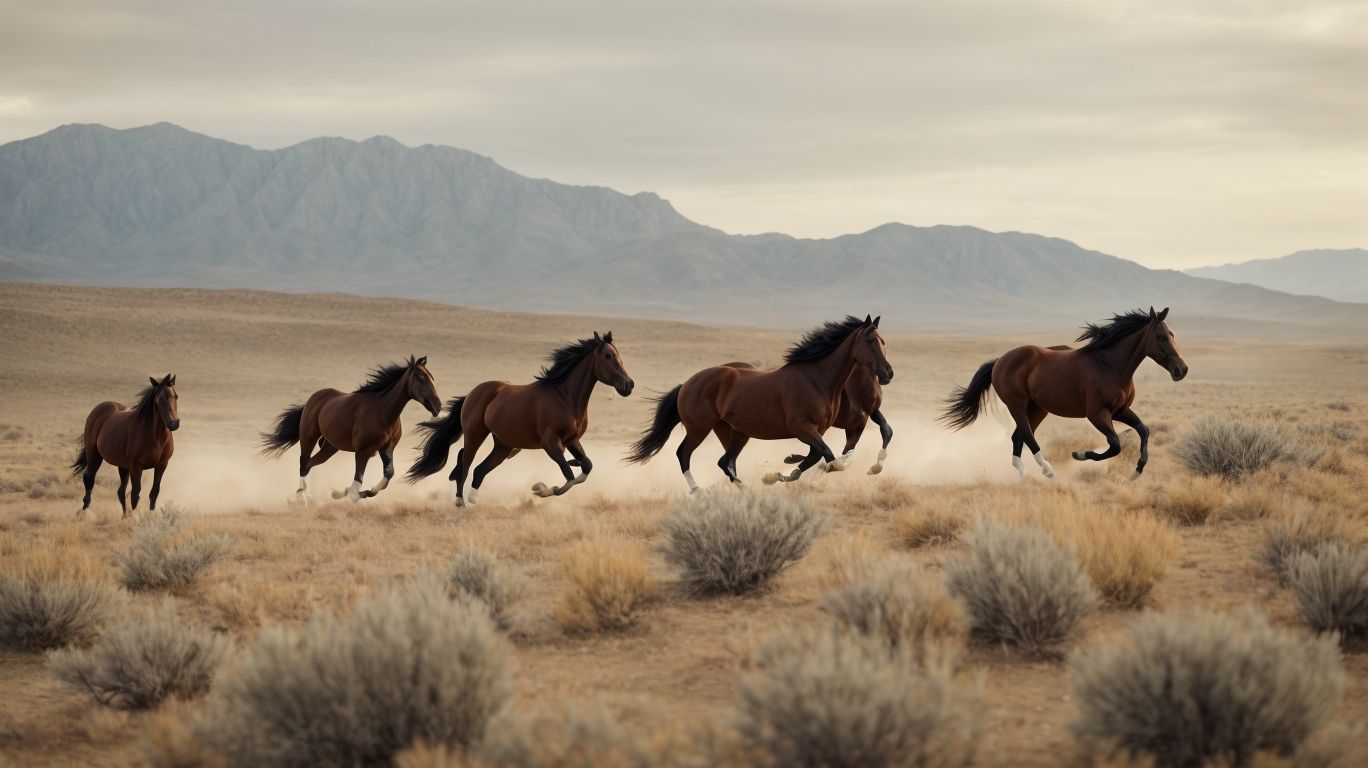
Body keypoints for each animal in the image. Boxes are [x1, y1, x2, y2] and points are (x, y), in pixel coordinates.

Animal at [71, 374, 180, 517]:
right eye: (160, 399)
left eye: (176, 396)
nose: (174, 424)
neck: (156, 437)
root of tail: (101, 407)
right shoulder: (136, 467)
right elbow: (135, 494)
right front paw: (134, 517)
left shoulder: (162, 465)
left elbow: (154, 492)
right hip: (94, 455)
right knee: (89, 478)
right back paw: (85, 511)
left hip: (122, 465)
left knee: (120, 491)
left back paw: (123, 516)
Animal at [259, 356, 441, 504]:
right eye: (421, 377)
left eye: (432, 377)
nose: (437, 406)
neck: (382, 411)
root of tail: (314, 398)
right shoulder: (363, 451)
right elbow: (358, 480)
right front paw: (348, 494)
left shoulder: (386, 448)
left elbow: (388, 475)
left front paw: (342, 492)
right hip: (308, 437)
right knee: (303, 463)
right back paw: (301, 498)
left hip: (330, 447)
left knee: (310, 464)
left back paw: (307, 496)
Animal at [406, 332, 634, 506]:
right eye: (608, 356)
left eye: (618, 354)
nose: (628, 385)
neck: (564, 397)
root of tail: (472, 393)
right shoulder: (551, 443)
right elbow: (568, 477)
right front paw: (542, 489)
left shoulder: (572, 440)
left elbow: (586, 467)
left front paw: (573, 463)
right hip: (475, 435)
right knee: (465, 462)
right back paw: (460, 500)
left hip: (503, 445)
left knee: (479, 470)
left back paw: (473, 501)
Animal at [626, 315, 893, 492]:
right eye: (870, 341)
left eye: (884, 342)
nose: (887, 374)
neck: (817, 379)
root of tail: (687, 384)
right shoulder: (801, 427)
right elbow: (829, 457)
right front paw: (780, 475)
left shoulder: (820, 429)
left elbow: (820, 455)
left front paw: (784, 472)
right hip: (699, 429)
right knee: (684, 453)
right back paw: (697, 490)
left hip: (734, 432)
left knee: (726, 461)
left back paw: (745, 489)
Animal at [939, 307, 1188, 479]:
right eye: (1161, 337)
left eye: (1173, 333)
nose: (1181, 370)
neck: (1109, 365)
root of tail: (1000, 360)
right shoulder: (1098, 414)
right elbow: (1115, 445)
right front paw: (1079, 455)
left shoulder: (1120, 410)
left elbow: (1143, 430)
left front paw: (1137, 472)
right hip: (1017, 404)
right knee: (1027, 434)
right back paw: (1047, 470)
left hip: (1037, 408)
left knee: (1018, 435)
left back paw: (1023, 473)